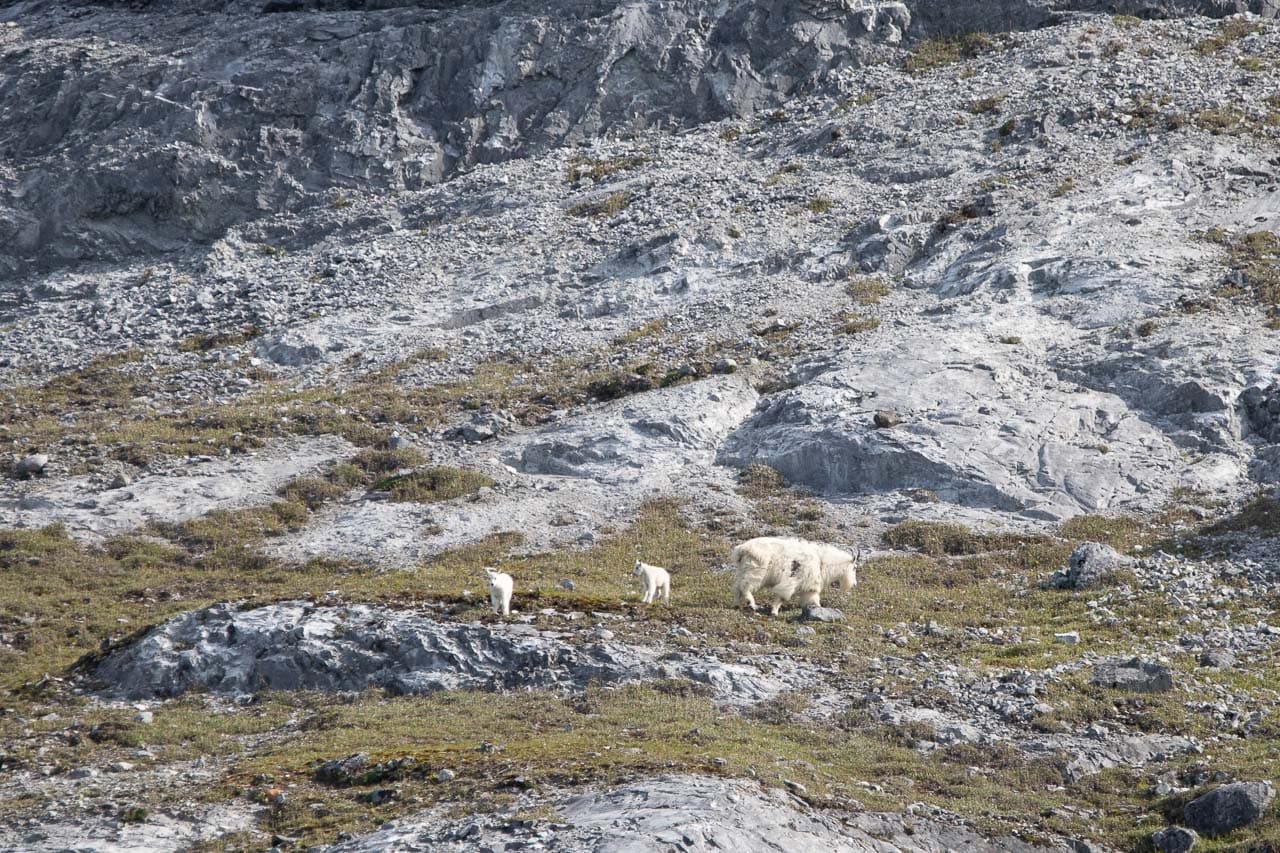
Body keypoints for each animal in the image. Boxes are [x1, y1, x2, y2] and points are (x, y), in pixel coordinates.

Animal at [732, 535, 860, 614]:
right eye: (854, 568)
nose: (854, 584)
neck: (822, 562)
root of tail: (742, 549)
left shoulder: (809, 589)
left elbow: (814, 601)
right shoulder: (791, 583)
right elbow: (782, 597)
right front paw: (774, 612)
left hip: (744, 571)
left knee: (737, 588)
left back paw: (737, 605)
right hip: (755, 573)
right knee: (745, 587)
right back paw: (752, 604)